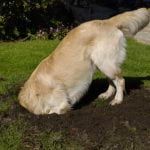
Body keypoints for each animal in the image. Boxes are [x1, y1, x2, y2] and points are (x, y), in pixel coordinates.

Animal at [18, 7, 149, 114]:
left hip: (105, 62)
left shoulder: (61, 104)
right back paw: (107, 94)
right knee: (112, 81)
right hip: (102, 63)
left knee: (120, 80)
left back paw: (117, 100)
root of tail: (106, 21)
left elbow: (57, 110)